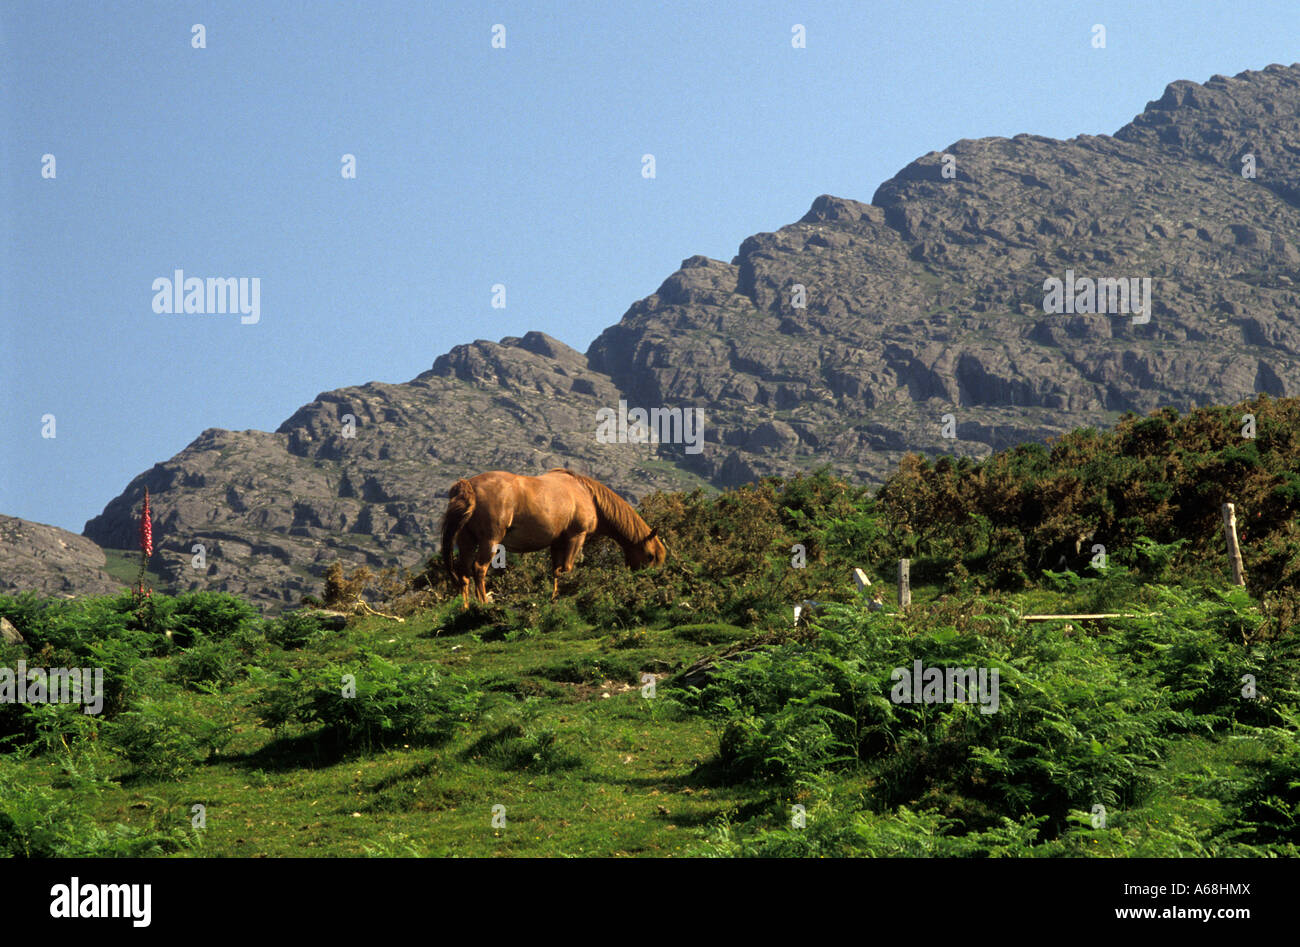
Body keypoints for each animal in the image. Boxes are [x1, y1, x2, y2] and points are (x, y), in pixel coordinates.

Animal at [440, 468, 667, 608]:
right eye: (650, 556)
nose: (649, 581)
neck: (586, 493)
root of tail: (468, 485)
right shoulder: (576, 537)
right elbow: (566, 569)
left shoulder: (557, 543)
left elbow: (556, 571)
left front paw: (554, 598)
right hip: (490, 541)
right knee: (479, 569)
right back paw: (483, 605)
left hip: (467, 542)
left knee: (464, 574)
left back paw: (466, 607)